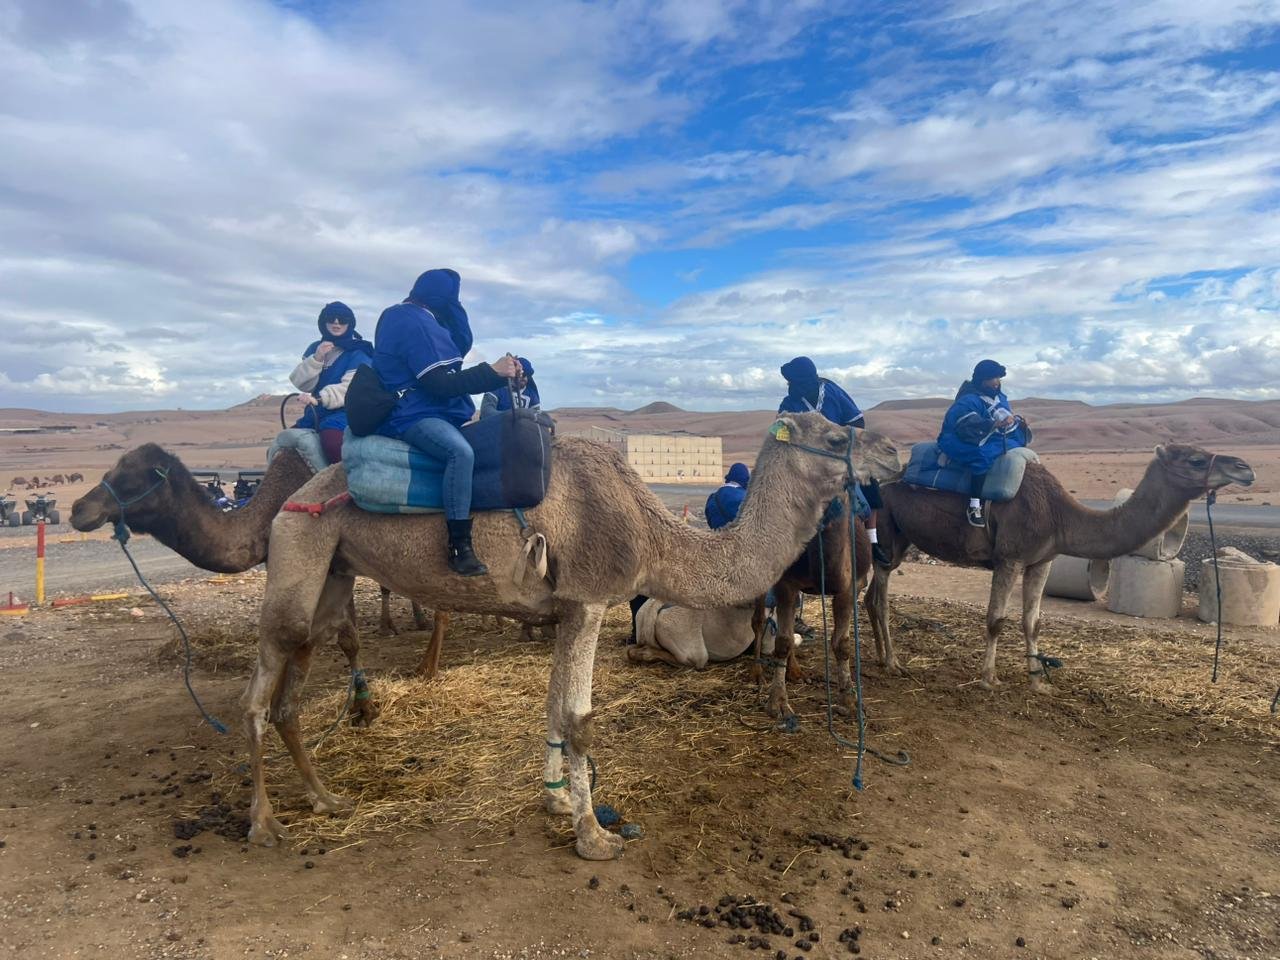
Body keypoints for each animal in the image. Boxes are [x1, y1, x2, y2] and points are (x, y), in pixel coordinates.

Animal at [244, 414, 901, 859]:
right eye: (835, 436)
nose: (895, 451)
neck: (652, 532)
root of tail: (294, 495)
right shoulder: (590, 598)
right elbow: (580, 717)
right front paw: (595, 835)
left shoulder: (568, 608)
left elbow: (554, 707)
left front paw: (557, 801)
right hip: (300, 546)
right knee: (259, 691)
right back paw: (265, 824)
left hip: (333, 572)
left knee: (292, 686)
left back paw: (326, 799)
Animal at [867, 443, 1255, 692]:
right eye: (1195, 459)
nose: (1245, 468)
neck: (1059, 515)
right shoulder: (1009, 557)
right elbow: (996, 620)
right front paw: (989, 679)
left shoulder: (1042, 561)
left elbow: (1033, 622)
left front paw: (1039, 682)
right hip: (884, 531)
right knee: (881, 598)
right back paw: (893, 663)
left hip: (901, 538)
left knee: (872, 596)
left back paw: (882, 659)